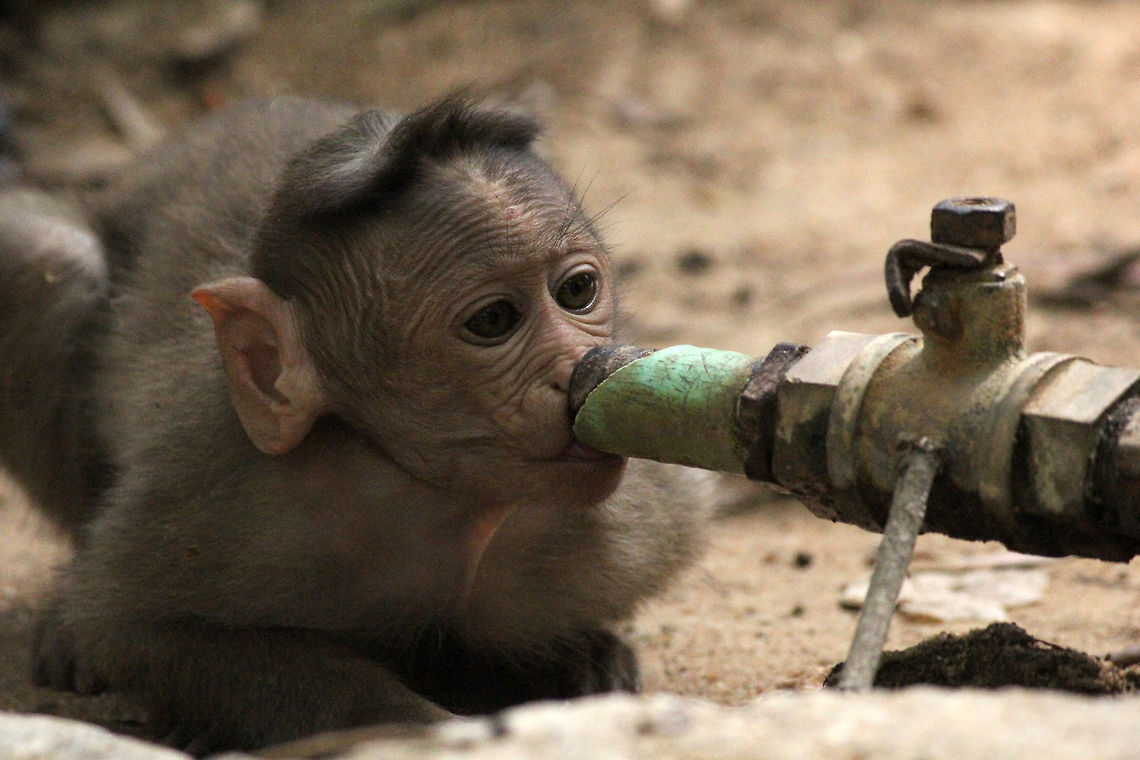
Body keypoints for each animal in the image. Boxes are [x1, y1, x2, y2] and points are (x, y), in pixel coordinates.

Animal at [0, 95, 711, 753]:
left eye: (577, 291)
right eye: (493, 321)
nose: (577, 370)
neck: (436, 497)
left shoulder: (622, 526)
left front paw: (571, 658)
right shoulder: (228, 492)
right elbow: (133, 628)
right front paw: (428, 728)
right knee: (47, 256)